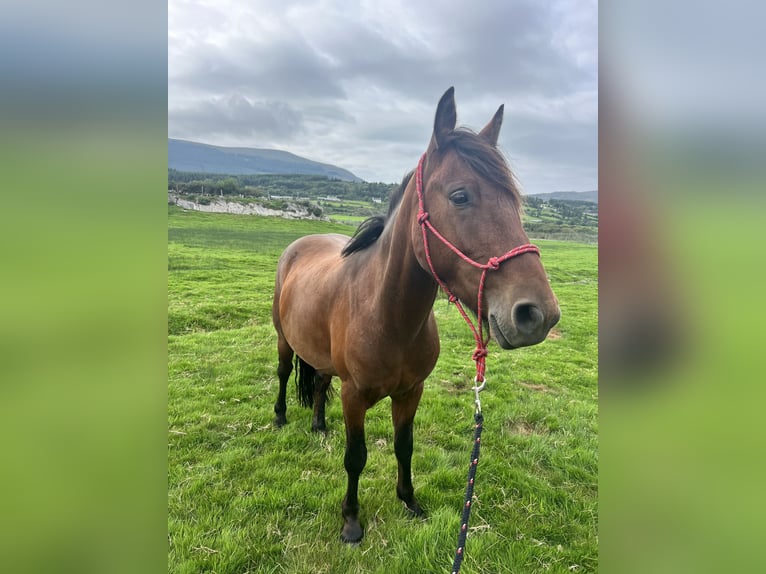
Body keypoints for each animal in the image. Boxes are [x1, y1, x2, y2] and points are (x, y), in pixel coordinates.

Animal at [271, 87, 560, 543]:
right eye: (460, 196)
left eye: (514, 202)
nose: (538, 314)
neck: (389, 318)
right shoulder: (354, 396)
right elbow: (356, 456)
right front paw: (351, 521)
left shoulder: (411, 392)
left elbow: (404, 446)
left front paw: (409, 501)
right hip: (283, 339)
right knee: (284, 373)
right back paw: (281, 417)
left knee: (318, 382)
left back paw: (318, 425)